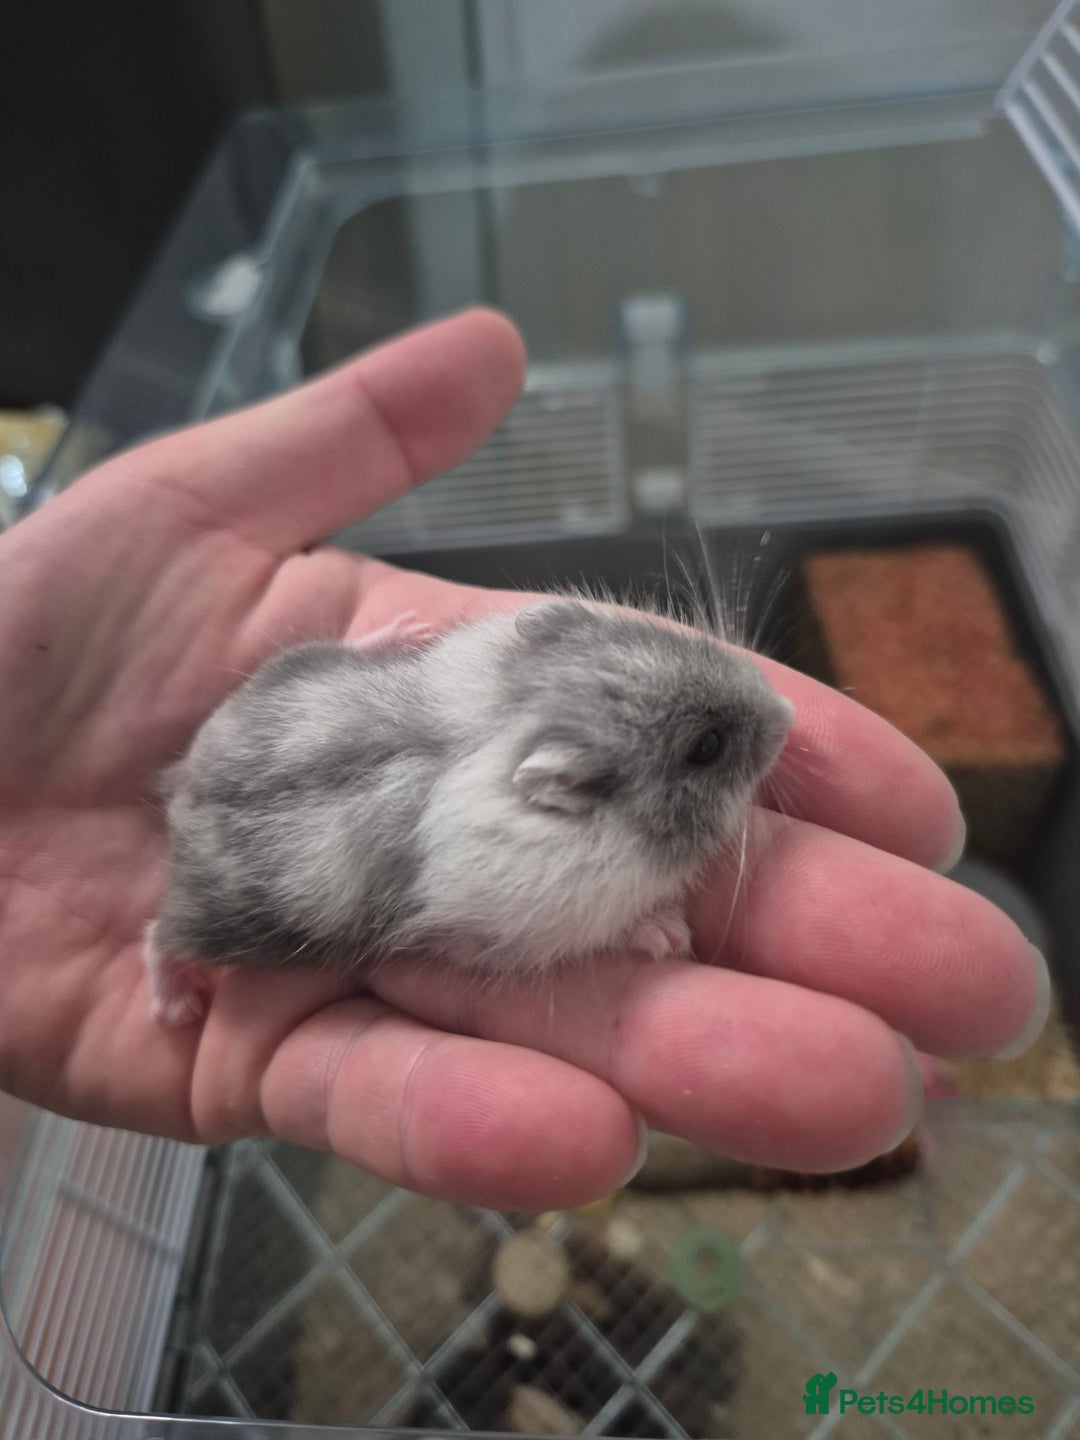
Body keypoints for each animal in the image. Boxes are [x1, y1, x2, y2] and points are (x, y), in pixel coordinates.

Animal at [144, 601, 794, 1026]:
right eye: (706, 747)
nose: (788, 714)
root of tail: (181, 785)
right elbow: (622, 927)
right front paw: (669, 933)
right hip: (223, 924)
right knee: (156, 934)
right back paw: (176, 1009)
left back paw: (404, 629)